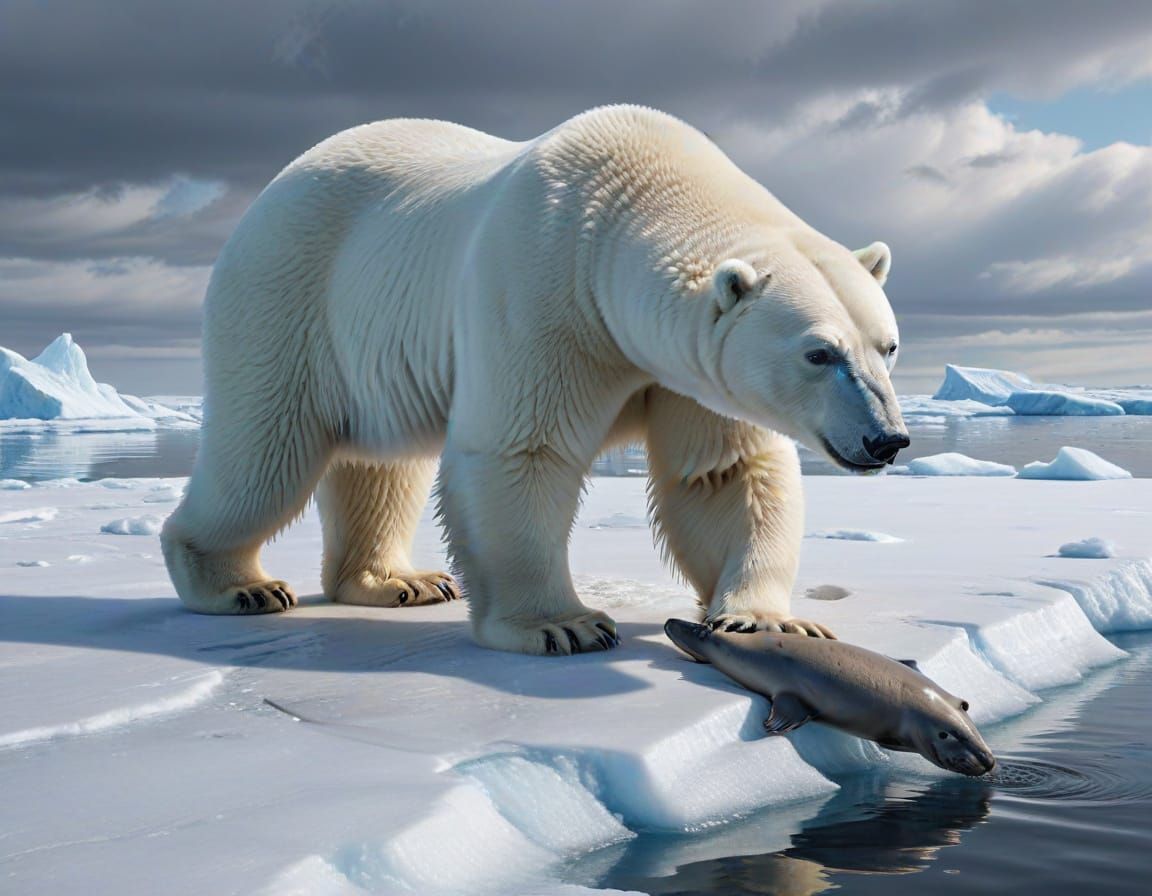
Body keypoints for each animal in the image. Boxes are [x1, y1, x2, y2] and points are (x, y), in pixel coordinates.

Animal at [161, 105, 909, 656]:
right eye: (818, 354)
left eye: (888, 346)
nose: (887, 440)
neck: (623, 199)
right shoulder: (542, 293)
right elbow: (522, 449)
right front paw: (563, 624)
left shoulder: (685, 371)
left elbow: (721, 473)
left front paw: (766, 619)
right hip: (289, 298)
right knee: (264, 455)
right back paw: (240, 586)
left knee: (380, 463)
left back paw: (398, 581)